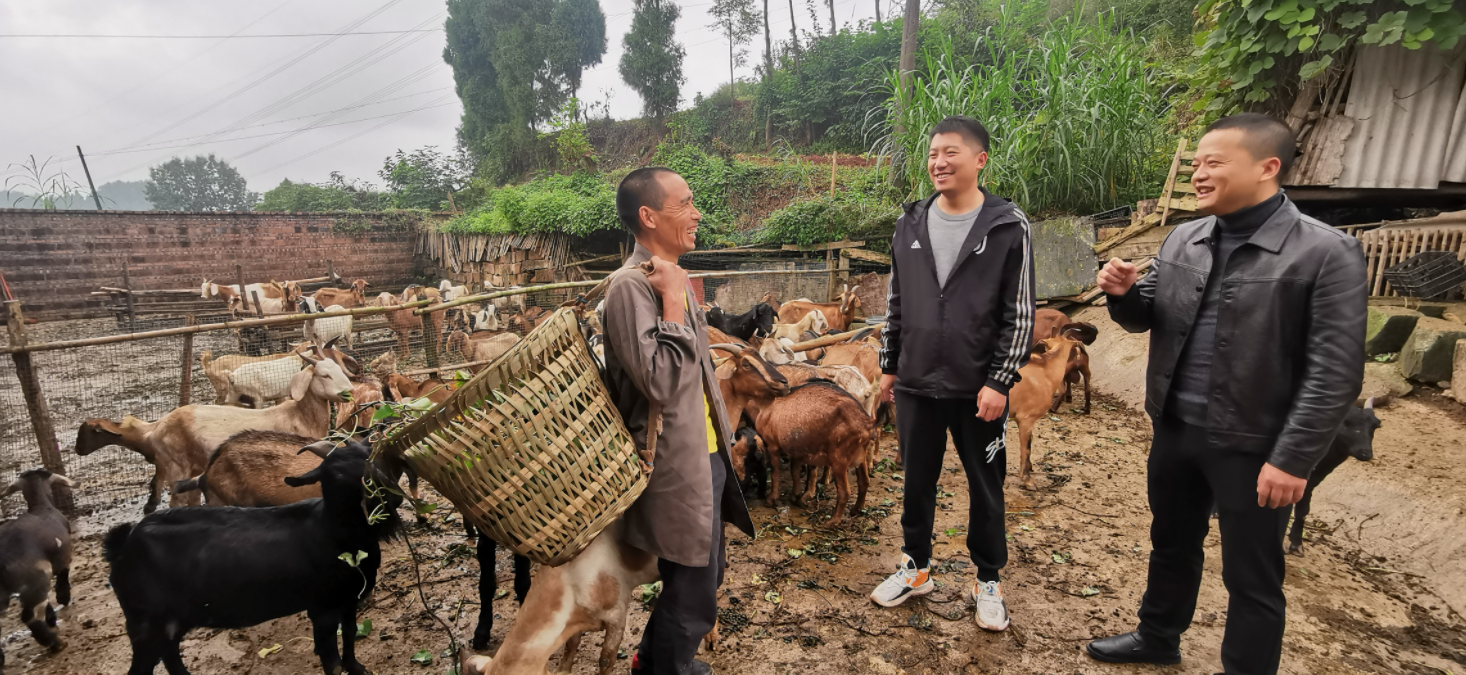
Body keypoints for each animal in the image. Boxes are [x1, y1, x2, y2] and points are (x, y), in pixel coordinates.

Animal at [0, 466, 74, 672]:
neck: (41, 506)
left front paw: (52, 618)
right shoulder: (63, 558)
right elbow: (63, 574)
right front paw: (63, 599)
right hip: (35, 578)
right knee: (30, 615)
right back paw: (55, 643)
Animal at [102, 440, 401, 672]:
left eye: (370, 457)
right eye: (334, 474)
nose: (388, 496)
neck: (332, 531)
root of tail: (123, 544)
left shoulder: (350, 600)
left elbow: (349, 636)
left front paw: (358, 668)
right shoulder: (322, 608)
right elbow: (332, 662)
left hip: (171, 621)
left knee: (170, 654)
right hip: (145, 623)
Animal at [744, 378, 867, 528]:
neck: (766, 405)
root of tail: (866, 423)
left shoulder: (773, 446)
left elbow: (774, 473)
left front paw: (771, 500)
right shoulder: (795, 449)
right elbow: (795, 472)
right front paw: (795, 496)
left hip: (839, 459)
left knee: (844, 492)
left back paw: (832, 521)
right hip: (861, 457)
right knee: (864, 482)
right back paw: (856, 509)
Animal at [1290, 402, 1378, 554]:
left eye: (1375, 425)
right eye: (1346, 422)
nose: (1365, 453)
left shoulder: (1309, 482)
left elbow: (1303, 509)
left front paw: (1296, 544)